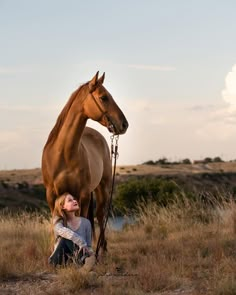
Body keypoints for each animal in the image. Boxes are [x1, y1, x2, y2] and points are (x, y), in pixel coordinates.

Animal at [41, 71, 128, 250]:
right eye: (103, 97)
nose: (124, 124)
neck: (63, 154)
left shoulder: (83, 195)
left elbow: (84, 221)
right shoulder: (52, 196)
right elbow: (57, 222)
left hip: (102, 189)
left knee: (100, 216)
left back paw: (102, 249)